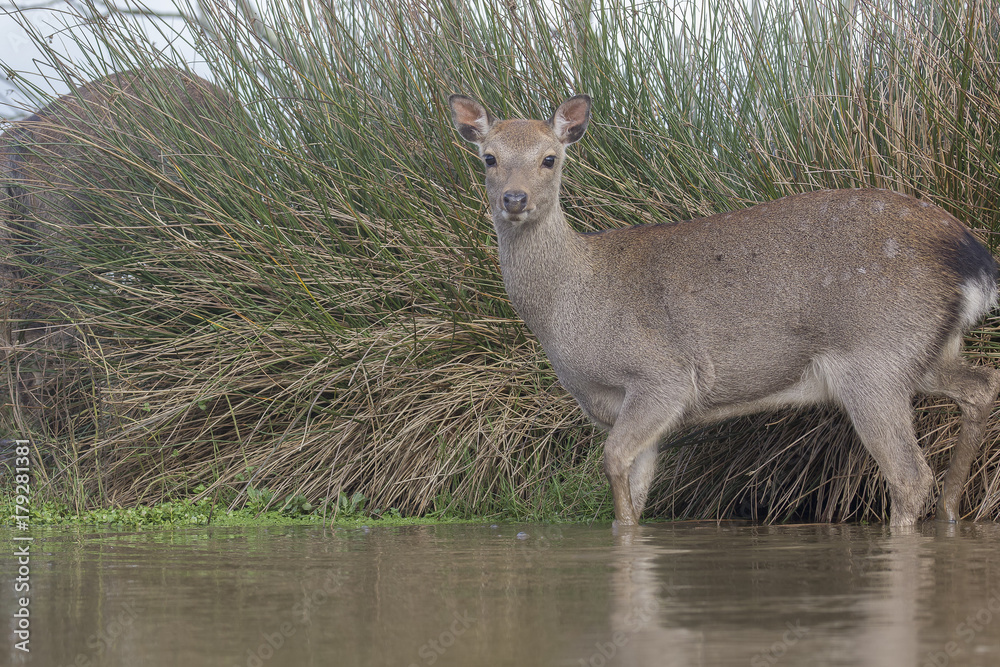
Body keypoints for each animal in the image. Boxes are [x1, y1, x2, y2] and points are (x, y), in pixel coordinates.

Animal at [449, 93, 1000, 528]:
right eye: (489, 157)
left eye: (549, 158)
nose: (514, 198)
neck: (569, 313)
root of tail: (974, 258)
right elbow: (634, 497)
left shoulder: (662, 377)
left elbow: (613, 464)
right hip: (925, 351)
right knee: (981, 385)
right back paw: (952, 514)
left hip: (875, 359)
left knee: (909, 474)